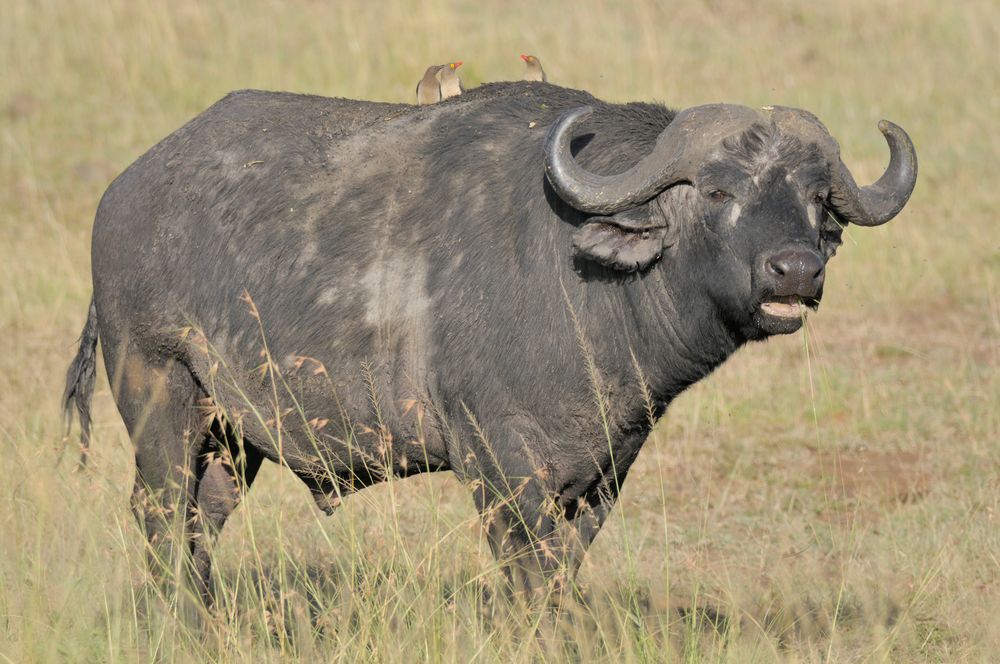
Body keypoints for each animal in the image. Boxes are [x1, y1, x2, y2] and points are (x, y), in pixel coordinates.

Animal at [62, 81, 916, 600]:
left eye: (818, 200)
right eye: (715, 191)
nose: (794, 269)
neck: (579, 283)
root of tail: (121, 195)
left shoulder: (606, 471)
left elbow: (562, 573)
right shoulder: (500, 468)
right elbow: (527, 576)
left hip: (235, 439)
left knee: (199, 524)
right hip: (161, 394)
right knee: (161, 515)